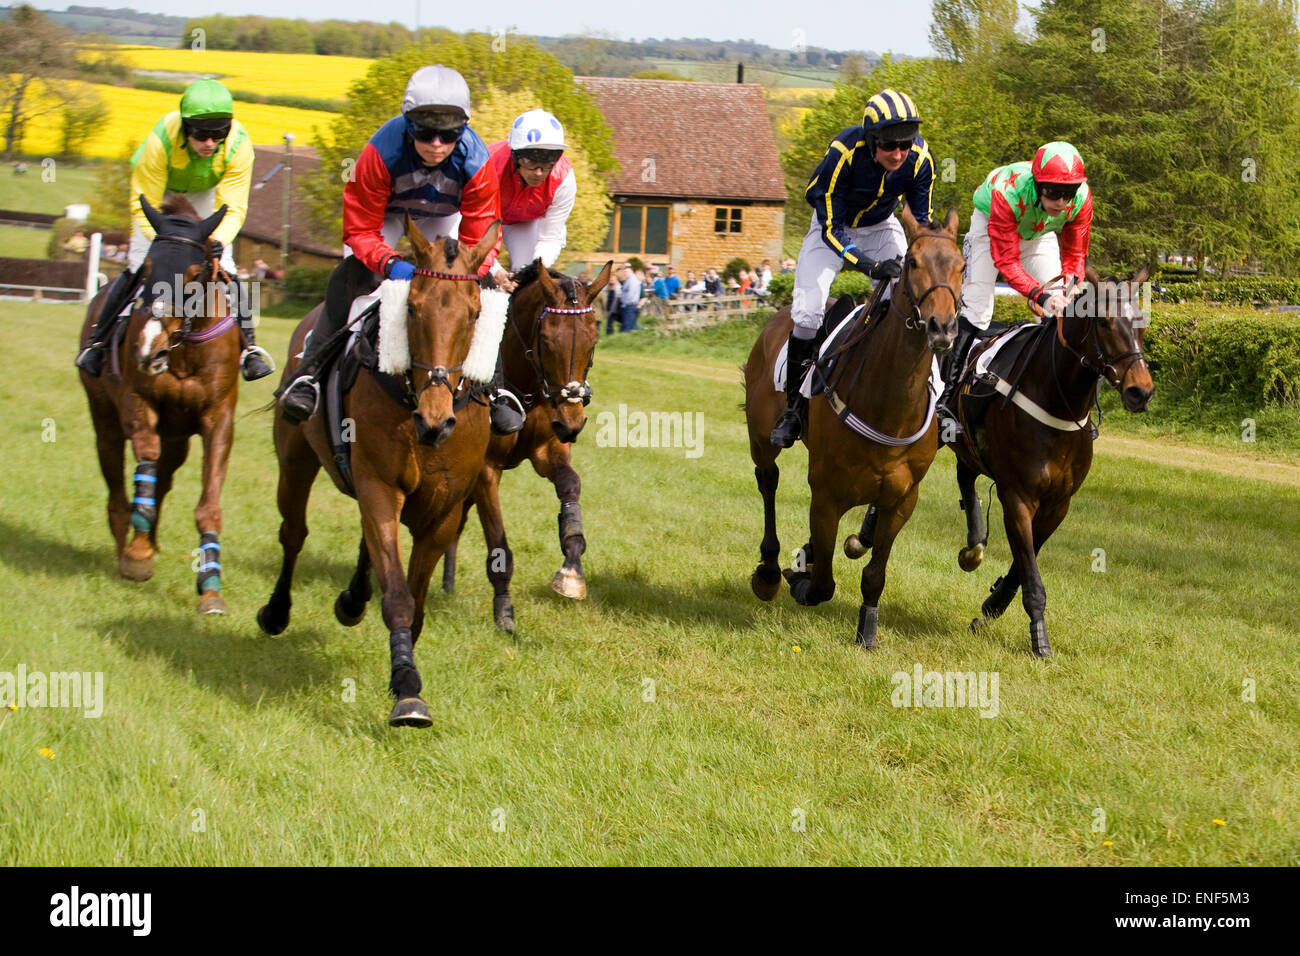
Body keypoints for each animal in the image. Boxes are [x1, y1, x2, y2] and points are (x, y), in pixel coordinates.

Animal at [79, 196, 244, 613]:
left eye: (194, 273)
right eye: (147, 271)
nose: (149, 348)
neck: (183, 351)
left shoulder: (219, 419)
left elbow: (208, 503)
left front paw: (211, 586)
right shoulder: (137, 402)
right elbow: (145, 458)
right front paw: (137, 555)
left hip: (179, 438)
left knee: (164, 477)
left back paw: (149, 540)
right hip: (105, 420)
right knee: (119, 486)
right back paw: (129, 548)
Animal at [256, 217, 499, 723]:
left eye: (473, 313)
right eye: (411, 308)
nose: (434, 420)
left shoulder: (444, 508)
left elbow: (416, 598)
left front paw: (402, 669)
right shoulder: (380, 486)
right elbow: (400, 597)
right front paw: (407, 689)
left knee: (364, 543)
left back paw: (352, 599)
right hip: (295, 459)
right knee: (294, 533)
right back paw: (277, 611)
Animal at [439, 257, 611, 632]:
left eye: (593, 338)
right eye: (546, 340)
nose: (572, 423)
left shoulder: (547, 451)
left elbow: (570, 488)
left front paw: (571, 568)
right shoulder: (486, 470)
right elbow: (498, 543)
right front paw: (504, 612)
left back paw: (446, 585)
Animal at [743, 205, 967, 647]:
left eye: (962, 266)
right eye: (912, 263)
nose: (943, 328)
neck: (888, 402)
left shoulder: (901, 499)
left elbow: (874, 573)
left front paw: (867, 632)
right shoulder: (826, 494)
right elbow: (823, 585)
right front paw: (799, 578)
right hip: (761, 437)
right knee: (768, 481)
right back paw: (770, 570)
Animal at [951, 267, 1154, 658]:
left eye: (1141, 322)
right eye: (1104, 322)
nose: (1141, 391)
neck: (1058, 402)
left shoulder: (1059, 503)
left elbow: (1023, 566)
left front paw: (993, 605)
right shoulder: (1017, 497)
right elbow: (1031, 575)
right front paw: (1040, 642)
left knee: (965, 473)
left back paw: (974, 543)